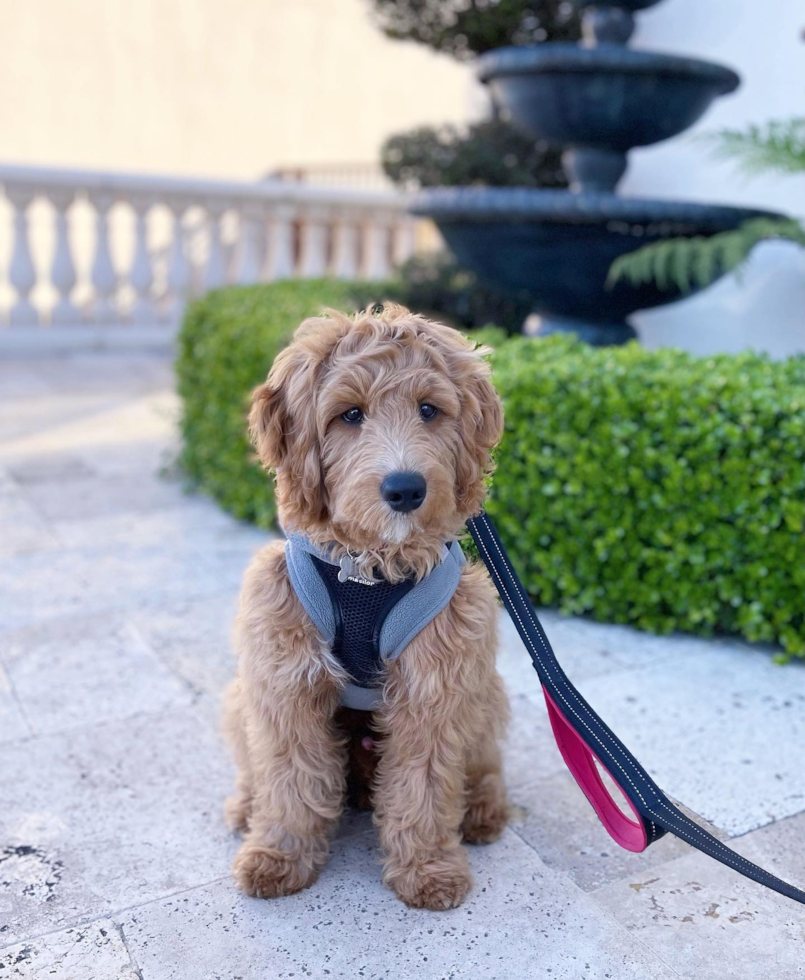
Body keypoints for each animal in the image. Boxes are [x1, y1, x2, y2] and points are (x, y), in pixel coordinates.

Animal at [220, 304, 508, 912]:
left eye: (429, 409)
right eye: (350, 415)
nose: (405, 489)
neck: (369, 567)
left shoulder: (436, 686)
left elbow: (425, 785)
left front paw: (428, 869)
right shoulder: (284, 676)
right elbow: (289, 777)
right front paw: (279, 854)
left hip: (484, 687)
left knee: (484, 764)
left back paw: (482, 810)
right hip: (240, 694)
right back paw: (246, 805)